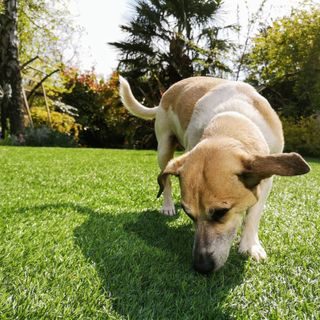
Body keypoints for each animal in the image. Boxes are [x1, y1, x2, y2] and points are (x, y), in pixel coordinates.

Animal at [119, 76, 308, 274]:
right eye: (189, 214)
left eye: (221, 212)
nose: (201, 267)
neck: (233, 119)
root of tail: (167, 93)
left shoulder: (267, 178)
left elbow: (253, 215)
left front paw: (250, 246)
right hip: (164, 147)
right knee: (166, 182)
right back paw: (168, 206)